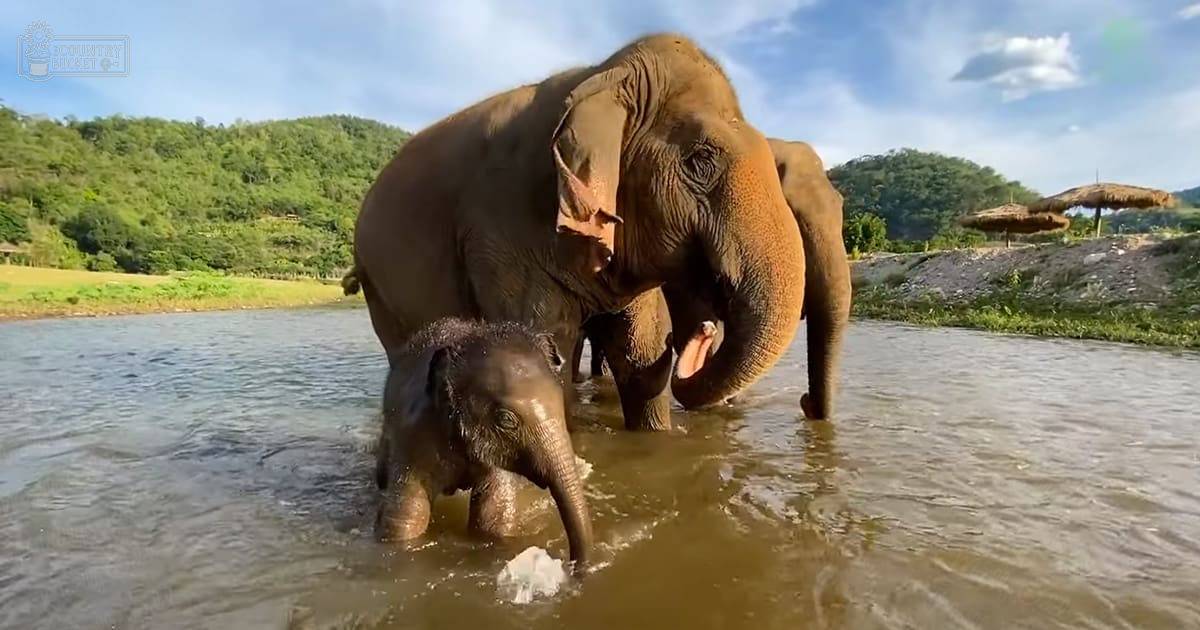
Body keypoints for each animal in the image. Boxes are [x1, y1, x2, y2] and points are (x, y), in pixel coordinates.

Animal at [345, 33, 807, 432]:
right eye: (702, 159)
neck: (601, 77)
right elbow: (542, 355)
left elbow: (639, 349)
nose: (703, 332)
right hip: (378, 288)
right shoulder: (502, 230)